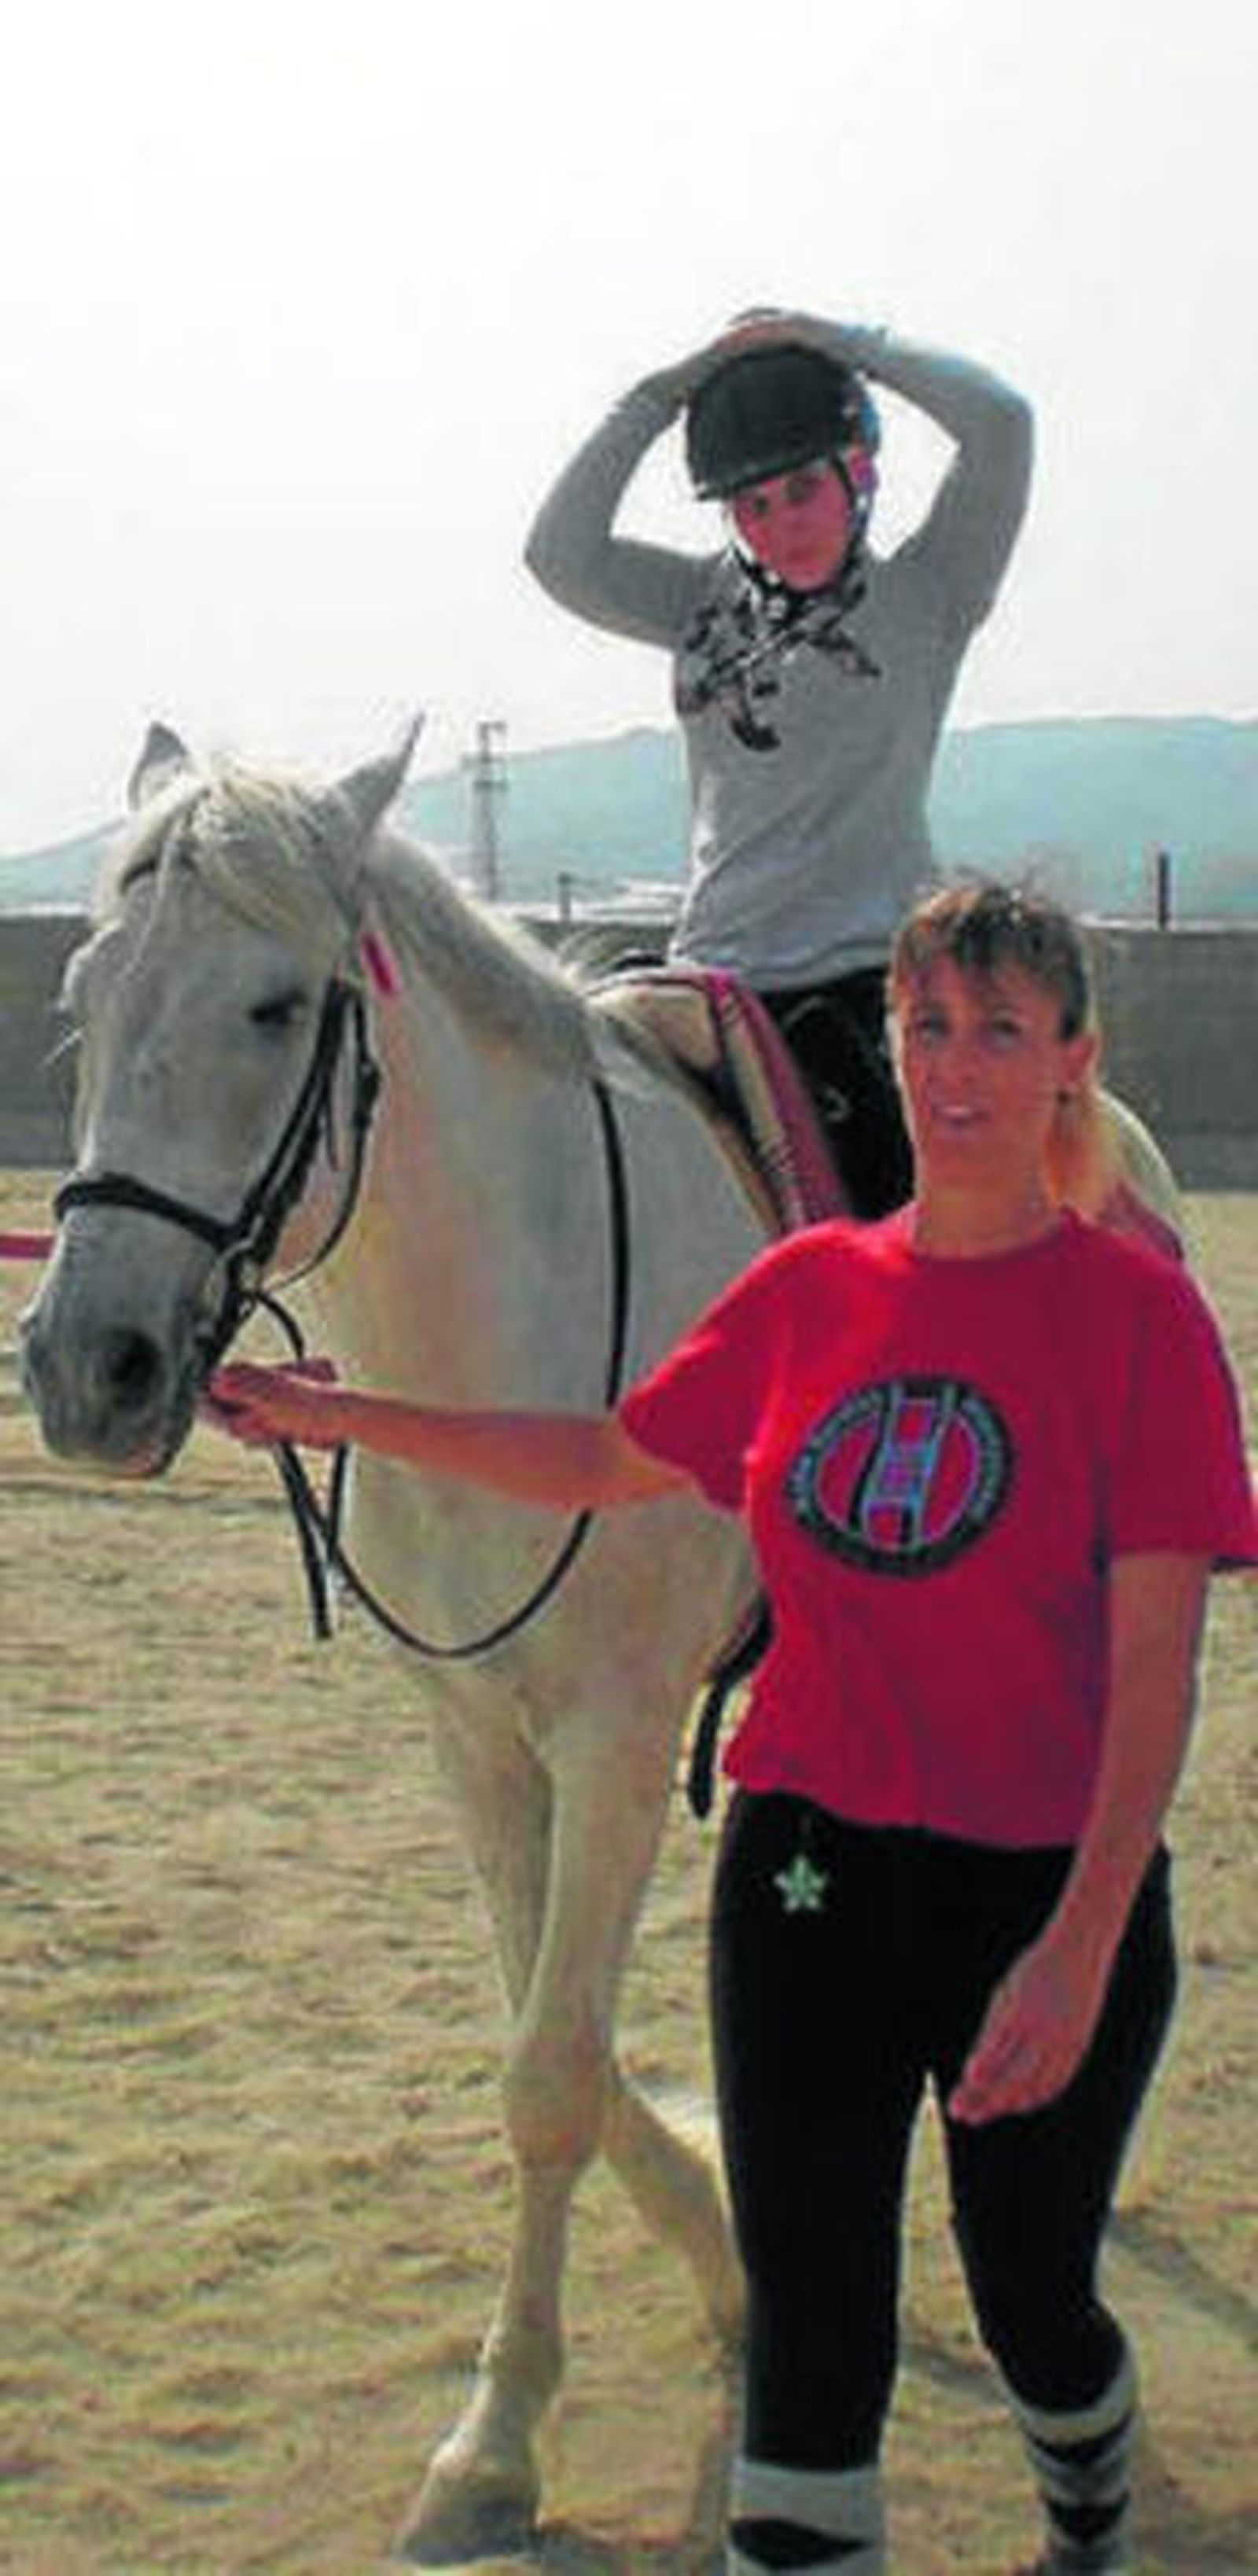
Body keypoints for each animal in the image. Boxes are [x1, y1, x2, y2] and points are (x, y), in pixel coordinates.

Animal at [20, 722, 766, 2562]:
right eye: (85, 992)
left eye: (279, 1005)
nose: (85, 1370)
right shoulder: (479, 1737)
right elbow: (546, 2034)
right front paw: (714, 2246)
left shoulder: (615, 1735)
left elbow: (552, 2071)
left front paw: (498, 2441)